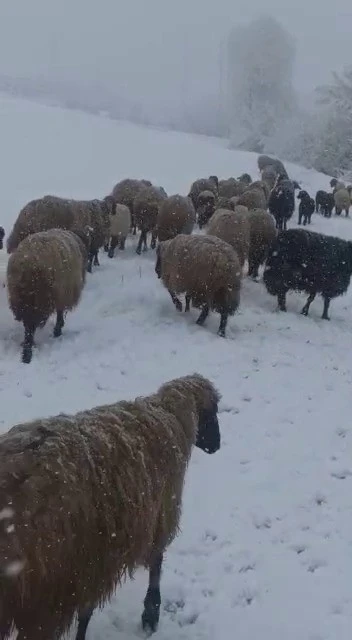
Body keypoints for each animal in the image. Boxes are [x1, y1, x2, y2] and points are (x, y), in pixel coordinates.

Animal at [0, 372, 221, 636]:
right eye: (213, 412)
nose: (217, 445)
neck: (169, 415)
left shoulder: (91, 563)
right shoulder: (157, 512)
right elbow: (155, 564)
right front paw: (151, 611)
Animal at [6, 229, 87, 364]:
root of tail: (28, 264)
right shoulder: (62, 293)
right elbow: (60, 312)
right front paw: (58, 329)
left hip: (21, 298)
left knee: (28, 325)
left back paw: (27, 350)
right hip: (39, 299)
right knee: (30, 325)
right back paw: (27, 354)